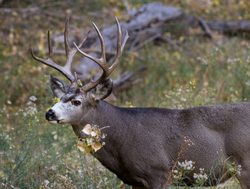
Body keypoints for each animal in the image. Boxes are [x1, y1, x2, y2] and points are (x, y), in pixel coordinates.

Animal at [31, 18, 250, 189]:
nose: (49, 113)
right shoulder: (134, 181)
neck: (123, 136)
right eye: (59, 98)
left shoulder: (159, 172)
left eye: (77, 101)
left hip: (245, 166)